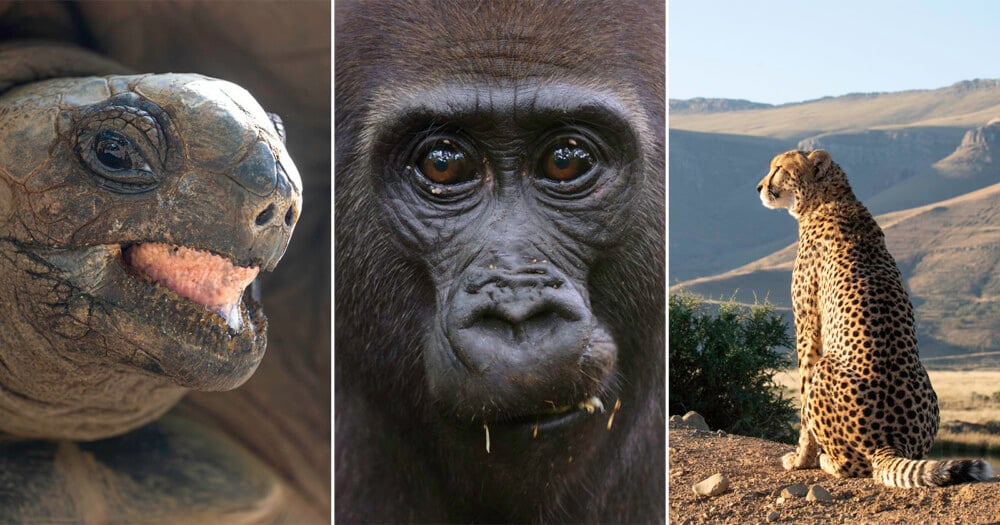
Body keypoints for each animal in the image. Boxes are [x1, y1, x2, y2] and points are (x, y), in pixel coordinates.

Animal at [756, 149, 993, 488]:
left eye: (778, 168)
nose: (759, 187)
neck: (828, 198)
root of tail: (889, 442)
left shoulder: (807, 325)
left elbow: (802, 399)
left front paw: (800, 459)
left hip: (828, 367)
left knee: (851, 466)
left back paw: (827, 461)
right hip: (927, 388)